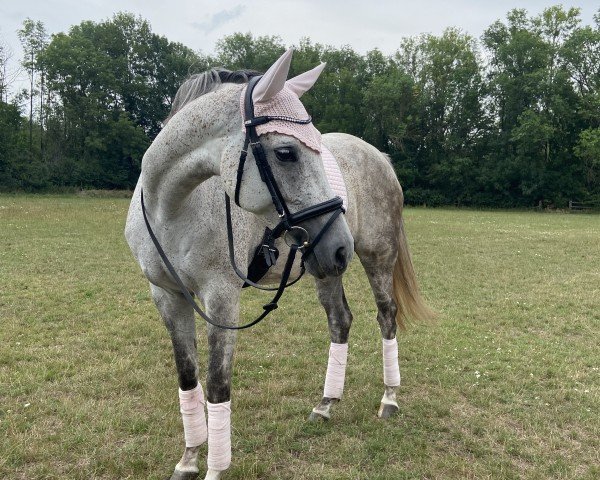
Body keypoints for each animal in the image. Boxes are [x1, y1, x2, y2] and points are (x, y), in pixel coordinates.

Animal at [125, 49, 432, 480]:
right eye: (286, 152)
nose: (342, 245)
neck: (173, 208)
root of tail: (378, 155)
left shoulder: (221, 298)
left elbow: (218, 386)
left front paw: (214, 469)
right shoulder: (167, 296)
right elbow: (188, 380)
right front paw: (188, 461)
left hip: (375, 257)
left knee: (386, 316)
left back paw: (389, 399)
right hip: (324, 266)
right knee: (340, 320)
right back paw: (326, 404)